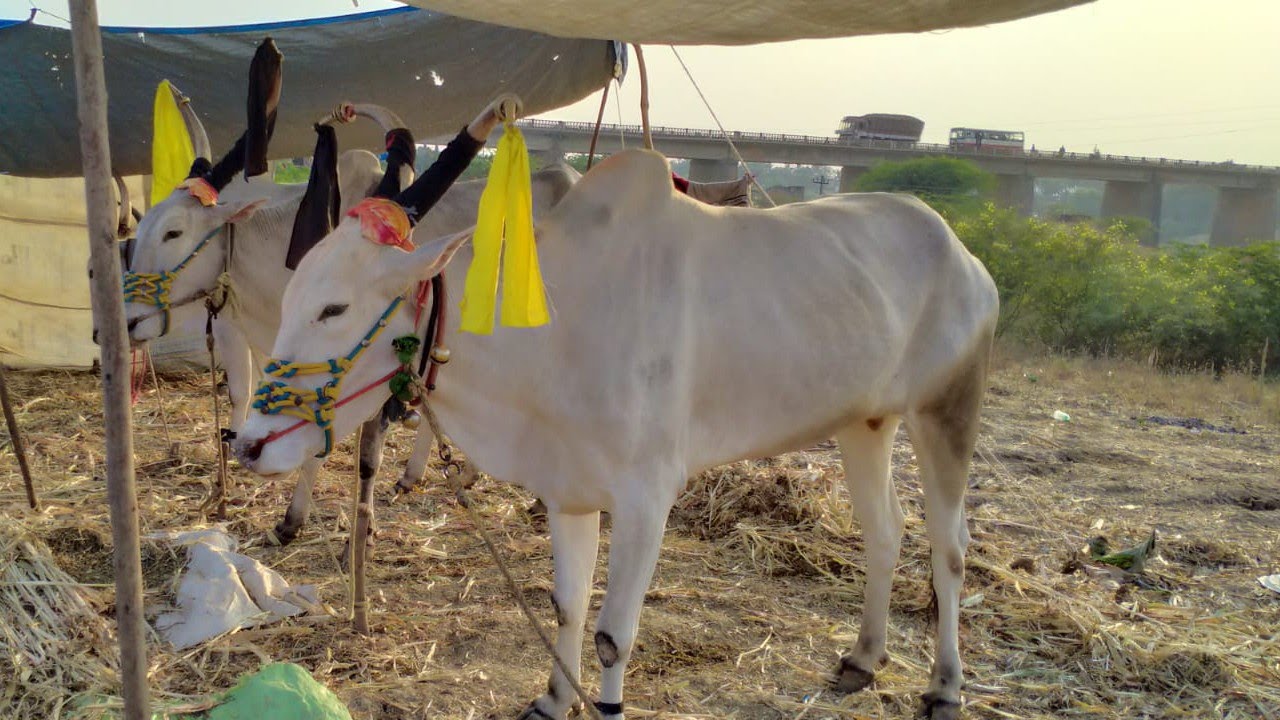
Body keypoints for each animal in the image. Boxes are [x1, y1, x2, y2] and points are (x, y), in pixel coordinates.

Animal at [233, 147, 999, 720]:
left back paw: (945, 687)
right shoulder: (567, 491)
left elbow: (611, 635)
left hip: (947, 411)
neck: (555, 324)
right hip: (866, 424)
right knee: (885, 532)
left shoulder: (645, 500)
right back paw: (863, 658)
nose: (247, 443)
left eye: (334, 308)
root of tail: (959, 250)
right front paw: (551, 700)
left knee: (950, 548)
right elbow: (567, 607)